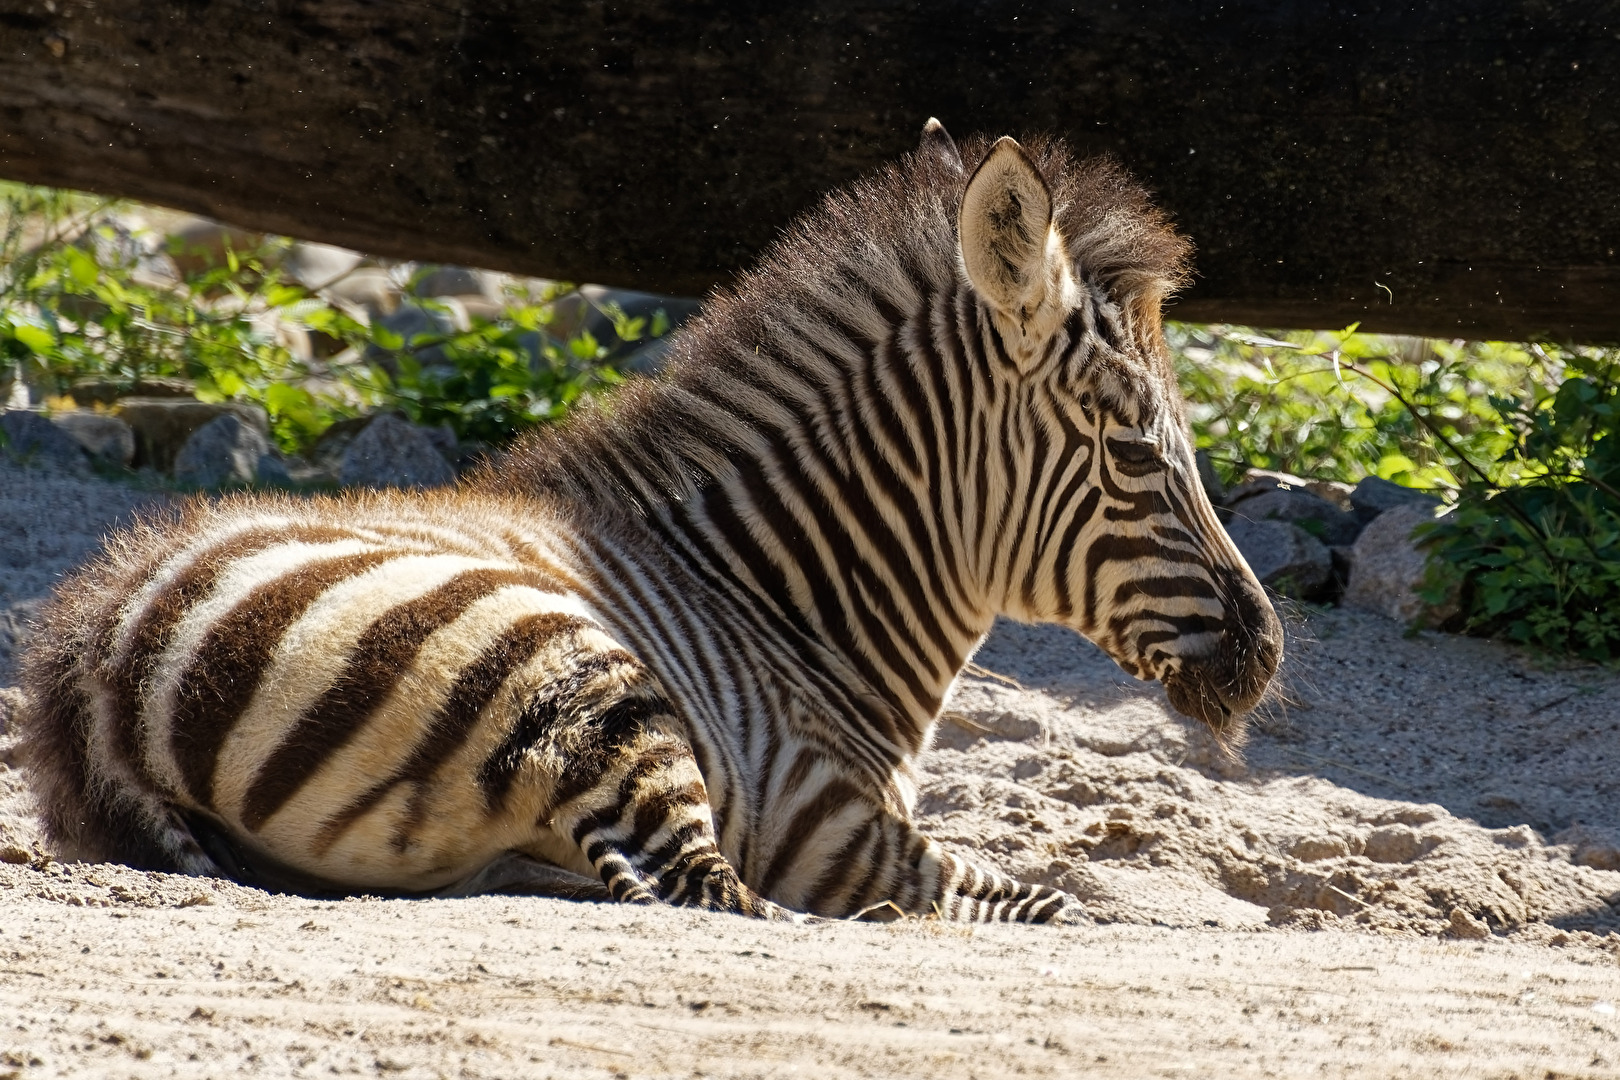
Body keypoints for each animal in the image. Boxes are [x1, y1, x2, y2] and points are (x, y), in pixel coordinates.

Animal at [17, 122, 1281, 924]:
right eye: (1136, 453)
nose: (1266, 651)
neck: (781, 600)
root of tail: (99, 668)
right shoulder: (835, 828)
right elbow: (1058, 906)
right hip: (583, 677)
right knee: (702, 895)